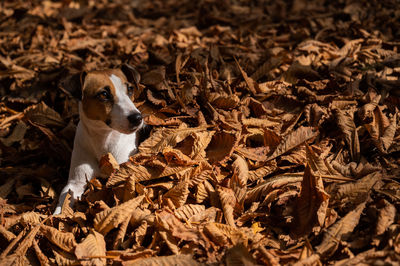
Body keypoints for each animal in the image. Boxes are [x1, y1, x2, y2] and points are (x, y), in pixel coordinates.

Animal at [54, 65, 145, 216]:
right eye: (104, 94)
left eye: (130, 89)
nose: (137, 118)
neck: (104, 139)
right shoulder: (75, 183)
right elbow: (64, 200)